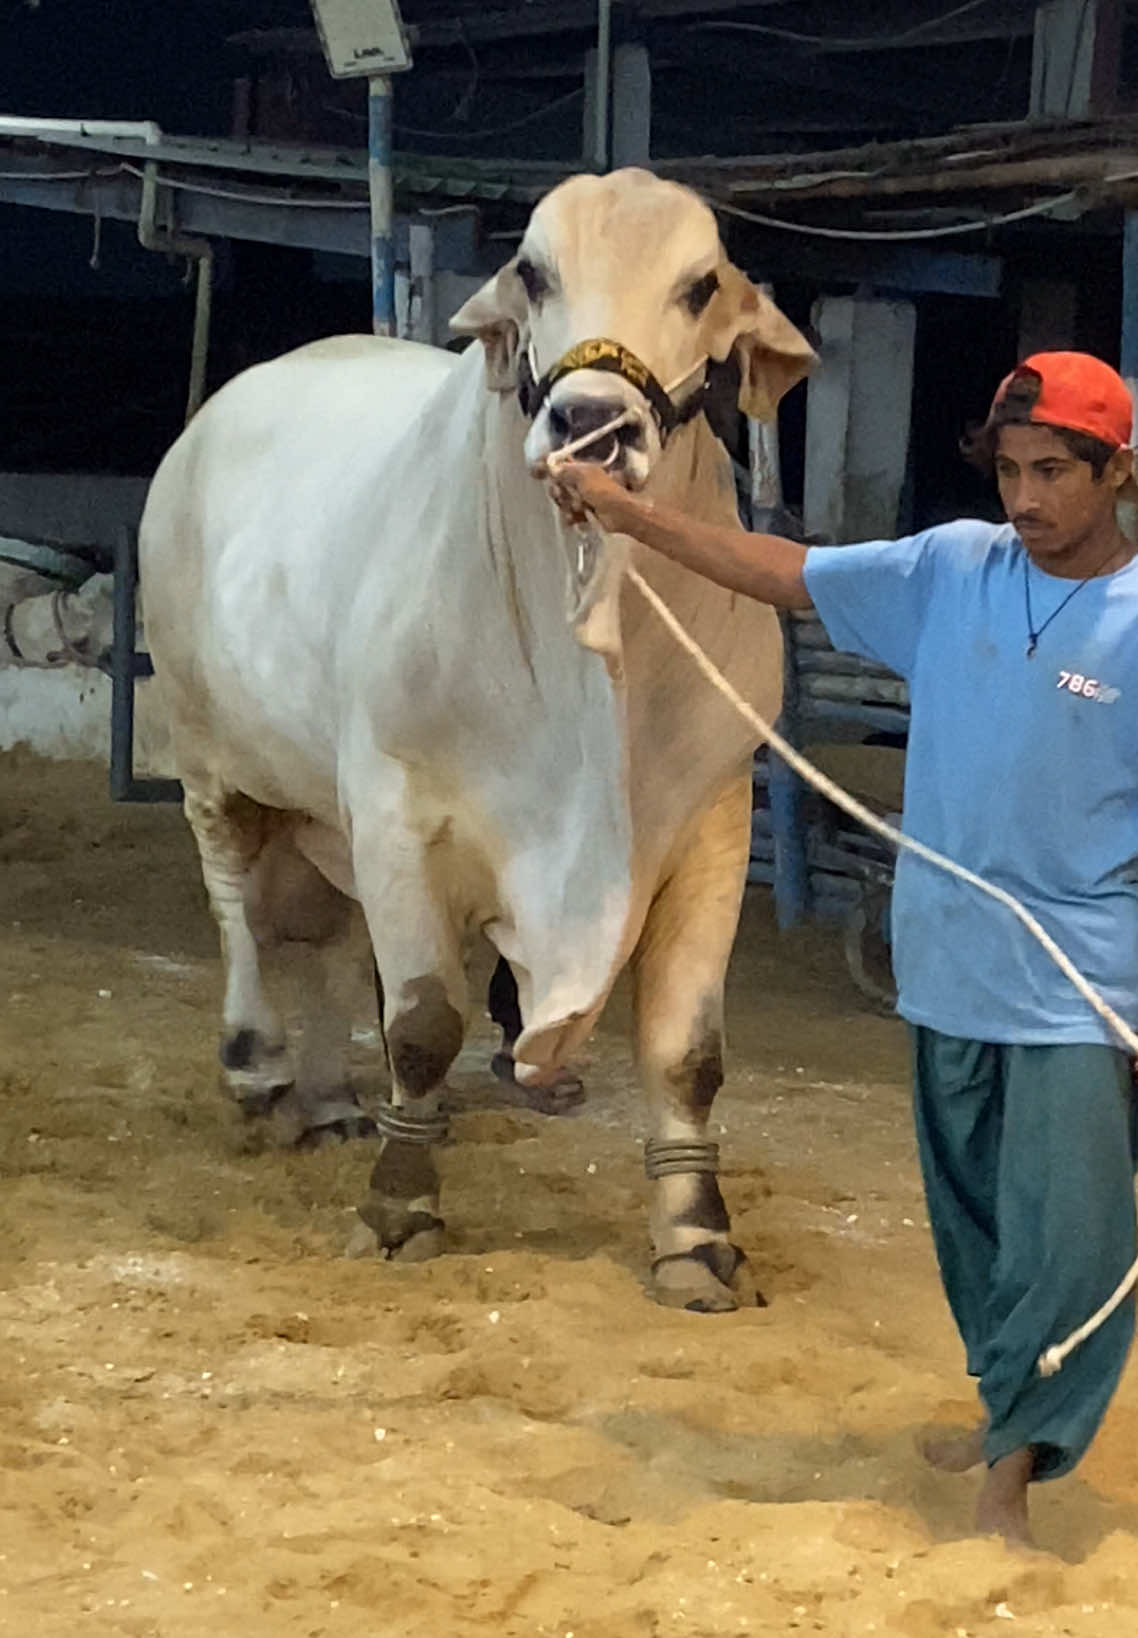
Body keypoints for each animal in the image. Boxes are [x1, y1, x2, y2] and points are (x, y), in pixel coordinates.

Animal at [138, 167, 815, 1312]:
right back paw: (259, 1063)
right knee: (238, 907)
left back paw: (329, 1099)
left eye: (699, 285)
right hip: (210, 753)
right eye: (533, 272)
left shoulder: (714, 816)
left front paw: (696, 1240)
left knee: (323, 937)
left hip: (322, 806)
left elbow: (687, 1054)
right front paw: (400, 1208)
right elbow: (420, 1023)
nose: (590, 424)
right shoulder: (398, 807)